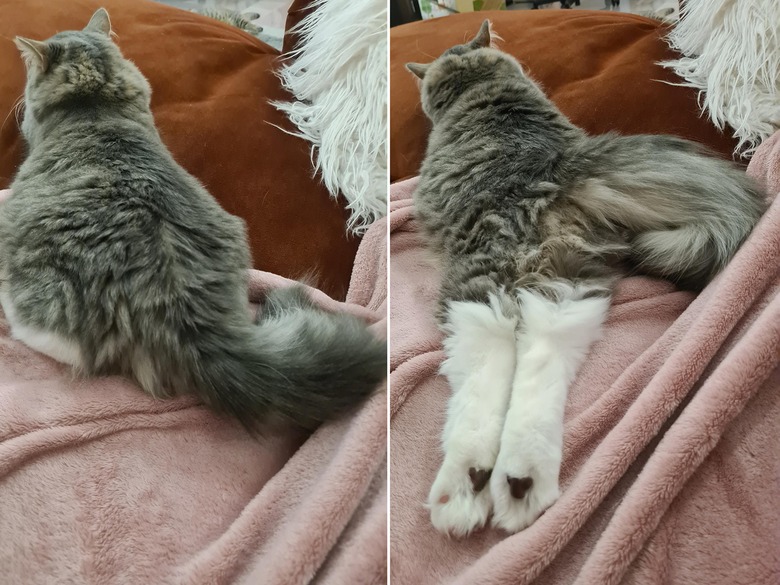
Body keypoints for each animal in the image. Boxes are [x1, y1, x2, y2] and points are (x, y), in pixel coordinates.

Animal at [408, 21, 768, 532]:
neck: (480, 87)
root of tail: (555, 168)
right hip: (566, 284)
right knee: (543, 360)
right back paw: (521, 480)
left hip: (483, 287)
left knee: (491, 366)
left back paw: (468, 485)